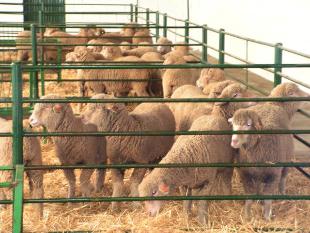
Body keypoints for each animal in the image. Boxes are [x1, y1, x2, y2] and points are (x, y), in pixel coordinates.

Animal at [139, 83, 253, 224]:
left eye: (154, 192)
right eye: (236, 95)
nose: (149, 214)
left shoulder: (208, 181)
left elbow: (202, 202)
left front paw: (203, 221)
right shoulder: (186, 184)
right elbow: (187, 201)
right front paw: (186, 217)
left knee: (226, 181)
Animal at [229, 83, 308, 221]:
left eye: (248, 124)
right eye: (233, 125)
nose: (234, 141)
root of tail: (273, 104)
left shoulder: (271, 174)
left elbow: (266, 198)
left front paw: (265, 216)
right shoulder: (246, 174)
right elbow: (250, 197)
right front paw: (248, 215)